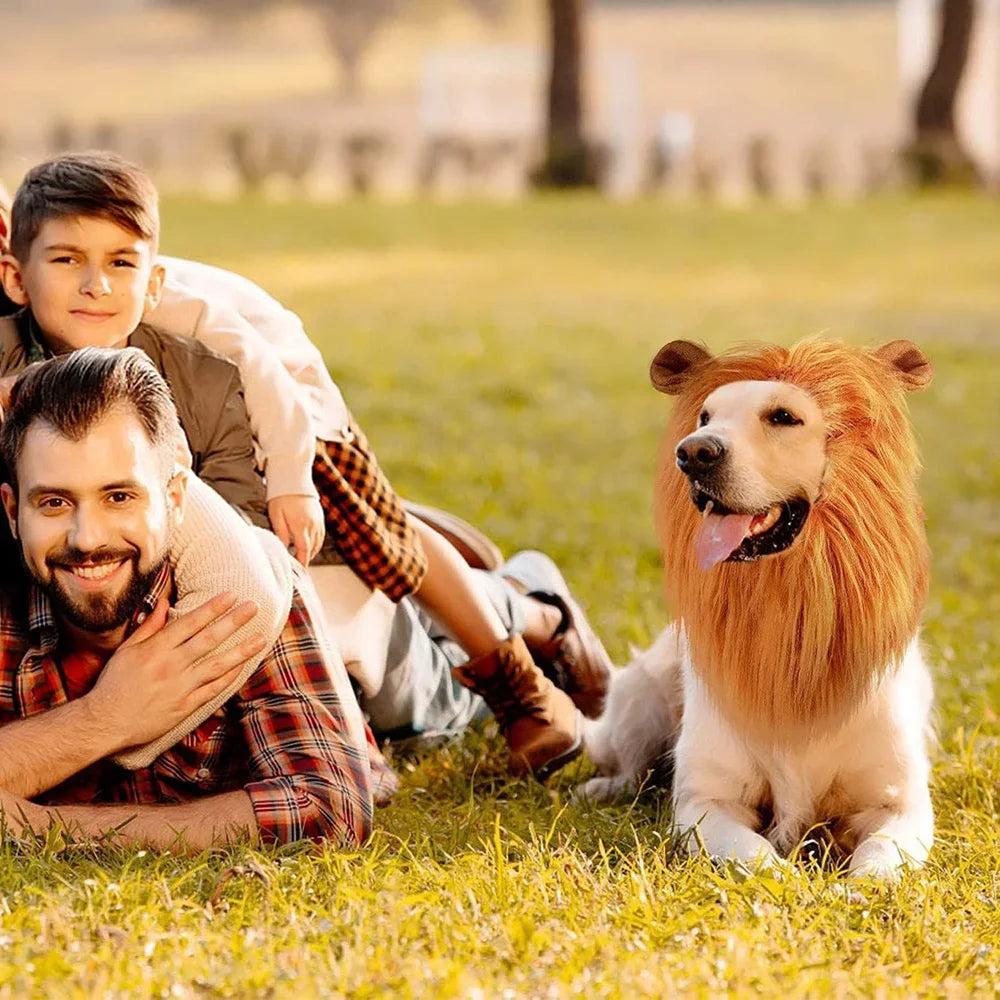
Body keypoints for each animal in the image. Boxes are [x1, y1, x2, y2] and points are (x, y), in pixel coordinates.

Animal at [584, 340, 932, 880]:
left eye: (783, 417)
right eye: (704, 415)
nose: (692, 452)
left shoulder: (901, 803)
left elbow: (878, 858)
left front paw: (856, 888)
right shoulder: (706, 802)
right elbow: (758, 856)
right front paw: (794, 885)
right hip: (639, 695)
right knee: (626, 764)